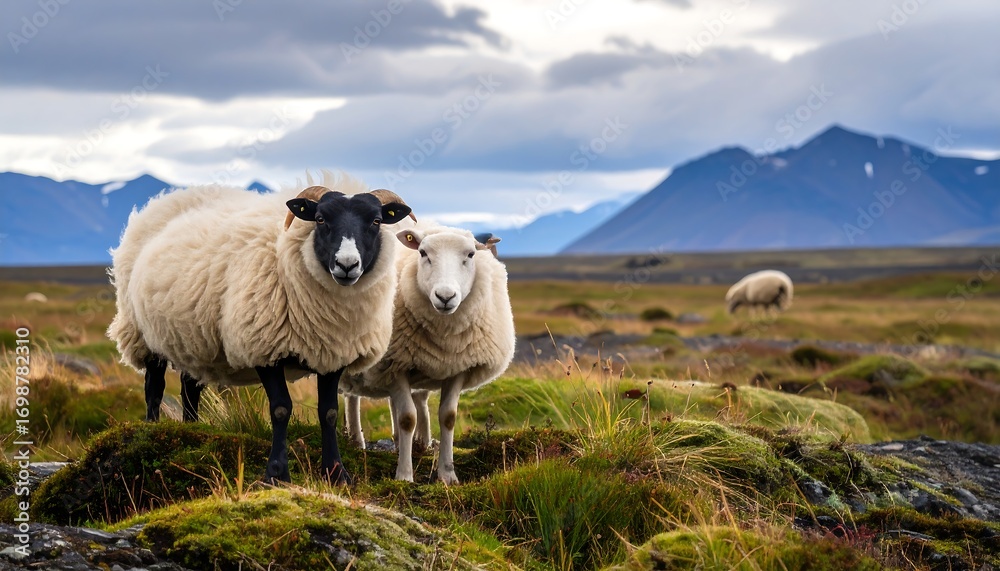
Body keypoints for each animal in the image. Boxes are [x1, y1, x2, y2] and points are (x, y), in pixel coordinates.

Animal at [106, 174, 413, 484]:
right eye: (320, 219)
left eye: (376, 221)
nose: (346, 265)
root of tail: (165, 199)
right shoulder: (264, 348)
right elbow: (280, 409)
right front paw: (276, 474)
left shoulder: (334, 354)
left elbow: (329, 412)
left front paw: (336, 473)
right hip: (141, 333)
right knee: (154, 388)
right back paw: (150, 430)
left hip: (193, 338)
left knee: (189, 389)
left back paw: (192, 432)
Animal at [340, 224, 515, 484]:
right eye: (423, 253)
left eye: (471, 254)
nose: (445, 297)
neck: (445, 336)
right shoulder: (395, 365)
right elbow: (407, 418)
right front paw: (404, 475)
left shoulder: (457, 368)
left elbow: (448, 417)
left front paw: (448, 475)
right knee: (351, 397)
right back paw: (355, 441)